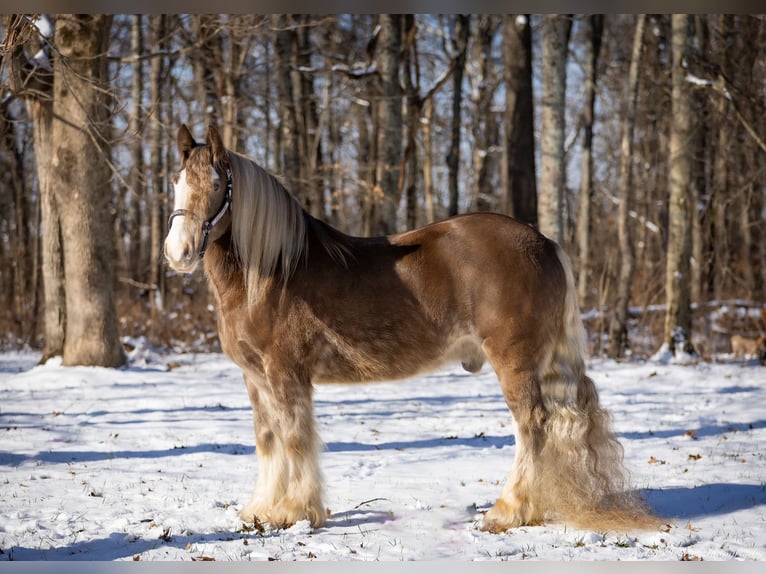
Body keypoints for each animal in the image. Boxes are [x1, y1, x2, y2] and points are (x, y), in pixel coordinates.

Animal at [165, 125, 656, 536]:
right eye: (175, 181)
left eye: (217, 184)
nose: (177, 252)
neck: (271, 273)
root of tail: (544, 243)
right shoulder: (255, 377)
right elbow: (267, 441)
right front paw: (261, 510)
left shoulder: (286, 374)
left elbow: (294, 439)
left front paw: (295, 512)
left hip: (514, 361)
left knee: (532, 426)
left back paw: (506, 512)